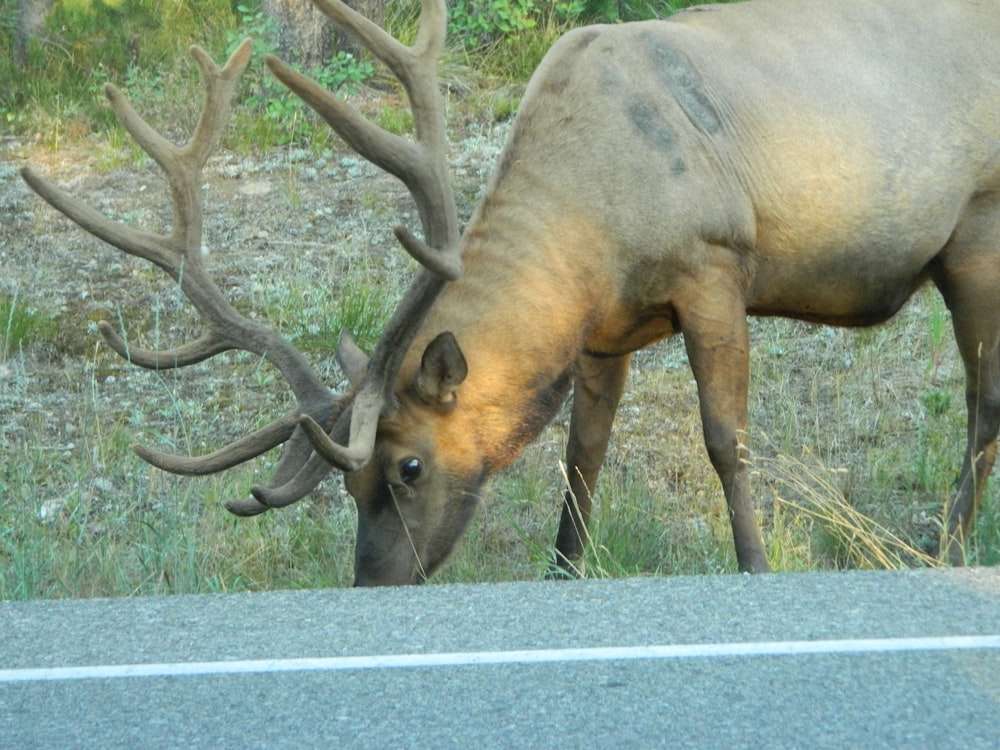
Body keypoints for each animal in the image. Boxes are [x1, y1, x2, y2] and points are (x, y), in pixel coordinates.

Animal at [21, 0, 1000, 588]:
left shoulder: (714, 263)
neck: (590, 236)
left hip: (977, 230)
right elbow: (581, 458)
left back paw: (949, 548)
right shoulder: (606, 331)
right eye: (350, 483)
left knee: (983, 403)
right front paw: (561, 575)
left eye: (409, 466)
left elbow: (727, 441)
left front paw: (755, 567)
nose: (373, 582)